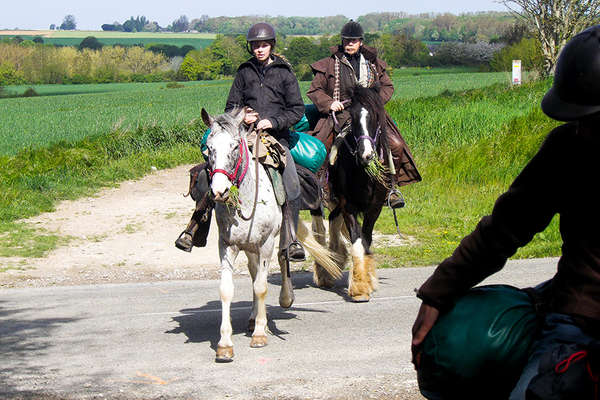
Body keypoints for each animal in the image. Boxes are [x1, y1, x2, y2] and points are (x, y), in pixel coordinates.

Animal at [312, 86, 392, 302]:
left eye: (374, 116)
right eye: (353, 118)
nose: (366, 156)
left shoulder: (374, 207)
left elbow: (366, 240)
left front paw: (368, 280)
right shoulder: (348, 206)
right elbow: (357, 242)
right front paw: (359, 289)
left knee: (332, 220)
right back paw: (324, 272)